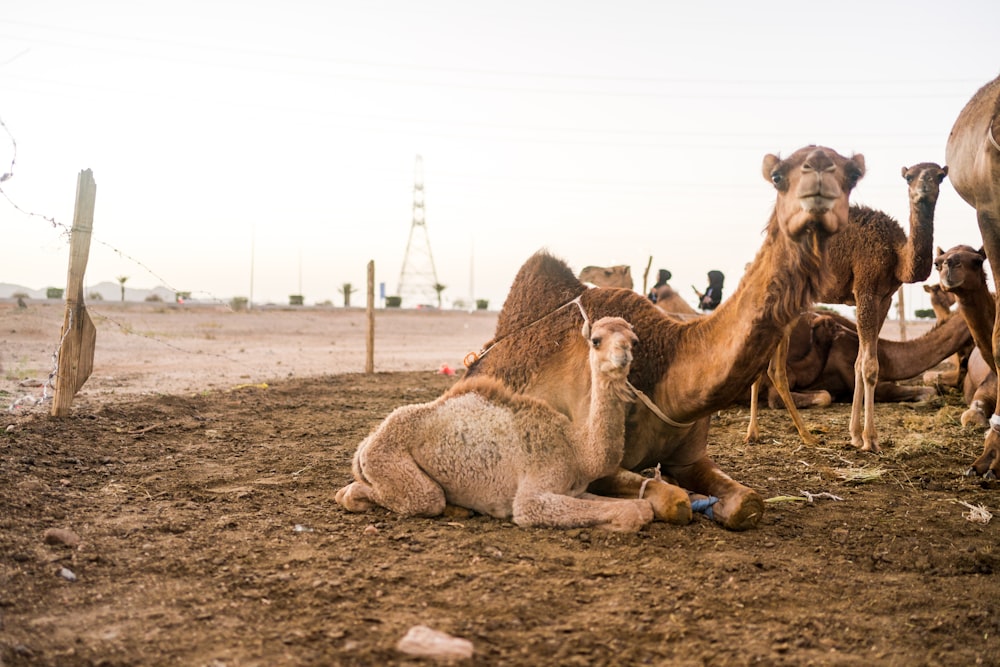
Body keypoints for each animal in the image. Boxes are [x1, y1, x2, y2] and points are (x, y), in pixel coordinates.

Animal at [334, 318, 656, 532]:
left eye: (635, 341)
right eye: (596, 340)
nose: (623, 355)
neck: (578, 451)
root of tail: (366, 443)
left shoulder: (572, 489)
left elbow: (642, 506)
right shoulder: (534, 493)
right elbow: (635, 510)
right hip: (391, 461)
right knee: (409, 497)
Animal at [464, 146, 864, 532]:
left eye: (853, 175)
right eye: (778, 176)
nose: (819, 175)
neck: (664, 364)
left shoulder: (691, 458)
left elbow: (747, 502)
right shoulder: (594, 456)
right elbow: (673, 500)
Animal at [752, 162, 948, 454]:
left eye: (939, 176)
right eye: (909, 177)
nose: (923, 189)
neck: (896, 254)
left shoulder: (884, 298)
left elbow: (858, 362)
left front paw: (855, 436)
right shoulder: (865, 289)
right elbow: (870, 366)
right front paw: (871, 440)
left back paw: (761, 433)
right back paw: (791, 435)